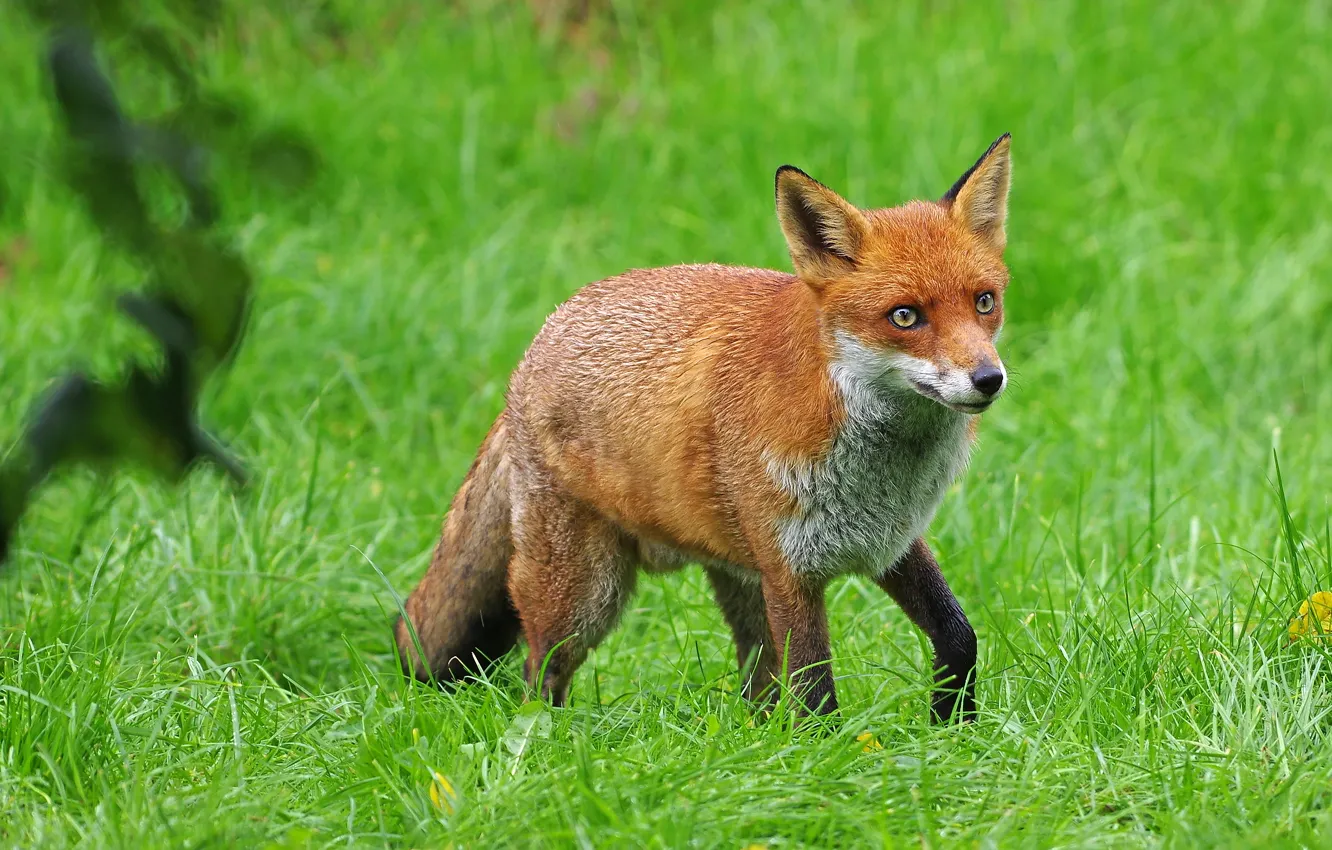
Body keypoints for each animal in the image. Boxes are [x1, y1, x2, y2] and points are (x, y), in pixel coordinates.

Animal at [396, 134, 1013, 721]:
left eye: (985, 302)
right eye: (905, 316)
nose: (989, 379)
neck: (879, 466)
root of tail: (534, 347)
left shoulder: (887, 540)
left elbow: (959, 635)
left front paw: (952, 726)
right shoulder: (789, 570)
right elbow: (816, 696)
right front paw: (833, 754)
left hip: (737, 579)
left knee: (756, 683)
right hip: (586, 592)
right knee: (538, 669)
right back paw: (549, 737)